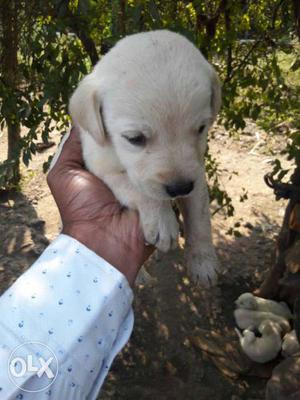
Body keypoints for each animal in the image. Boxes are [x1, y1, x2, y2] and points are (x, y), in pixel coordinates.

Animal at [69, 30, 221, 288]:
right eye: (135, 138)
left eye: (201, 128)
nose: (180, 188)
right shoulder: (101, 167)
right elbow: (137, 188)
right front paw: (162, 221)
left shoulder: (197, 173)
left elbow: (200, 217)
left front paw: (203, 263)